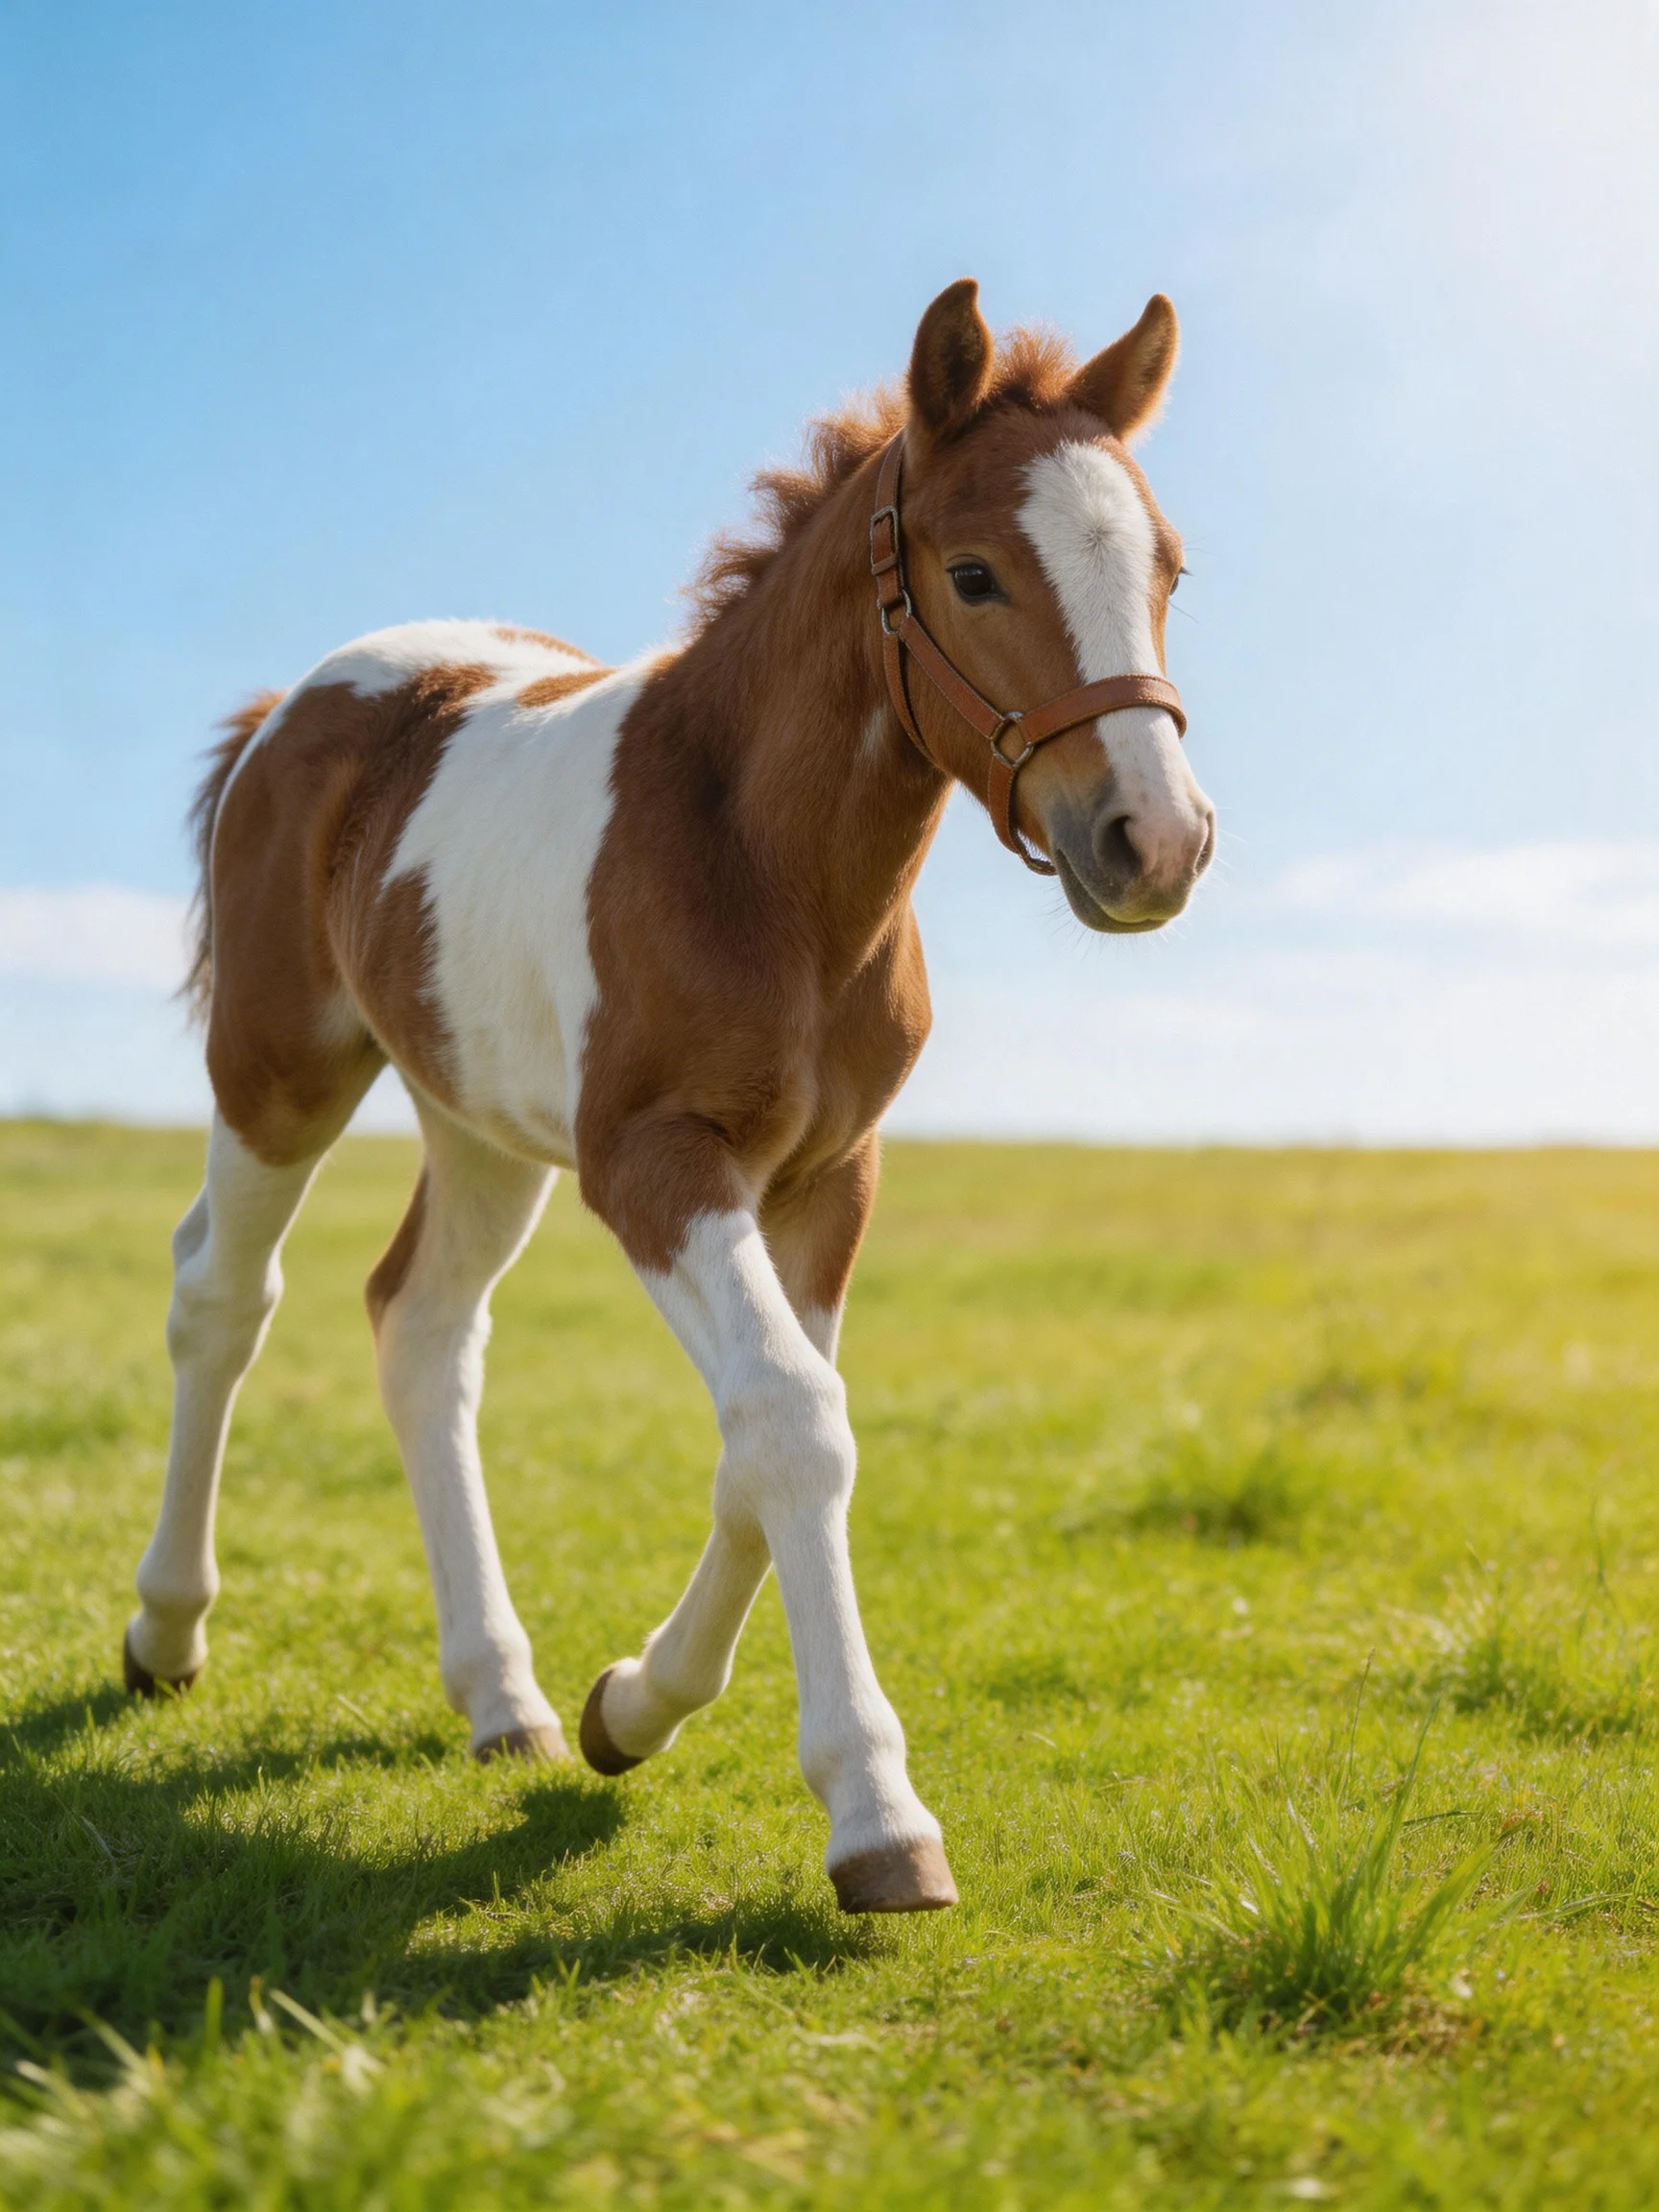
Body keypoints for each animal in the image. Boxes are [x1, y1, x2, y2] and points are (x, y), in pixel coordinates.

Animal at [124, 279, 1215, 1914]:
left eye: (1165, 569)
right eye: (971, 574)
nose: (1155, 839)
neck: (763, 861)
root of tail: (292, 706)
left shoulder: (828, 1175)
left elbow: (765, 1440)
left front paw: (626, 1709)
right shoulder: (654, 1164)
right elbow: (794, 1422)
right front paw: (877, 1818)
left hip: (481, 1123)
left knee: (421, 1326)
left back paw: (501, 1696)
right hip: (279, 1067)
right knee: (221, 1297)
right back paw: (167, 1629)